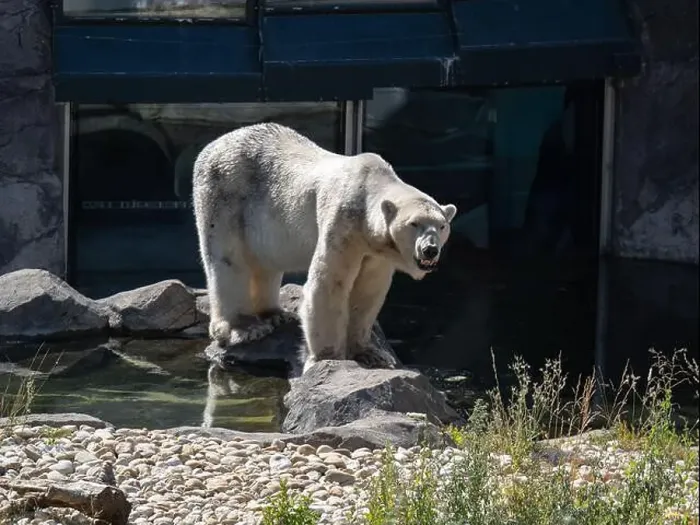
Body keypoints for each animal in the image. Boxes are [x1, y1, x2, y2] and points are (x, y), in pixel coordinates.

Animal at [192, 122, 457, 372]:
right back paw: (244, 327)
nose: (430, 250)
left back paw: (276, 314)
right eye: (413, 223)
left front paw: (371, 354)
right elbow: (329, 284)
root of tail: (212, 145)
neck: (367, 187)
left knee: (266, 263)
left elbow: (368, 290)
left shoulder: (374, 249)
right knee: (228, 261)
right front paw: (326, 358)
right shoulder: (343, 223)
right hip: (225, 194)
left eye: (442, 225)